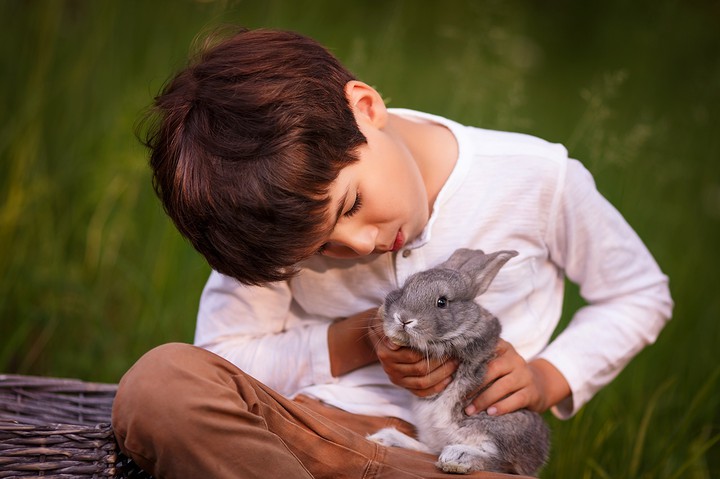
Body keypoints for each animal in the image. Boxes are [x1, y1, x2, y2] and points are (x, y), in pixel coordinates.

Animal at [367, 248, 550, 476]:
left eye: (442, 302)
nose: (403, 319)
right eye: (405, 288)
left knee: (496, 461)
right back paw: (385, 437)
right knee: (430, 448)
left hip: (494, 426)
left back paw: (457, 457)